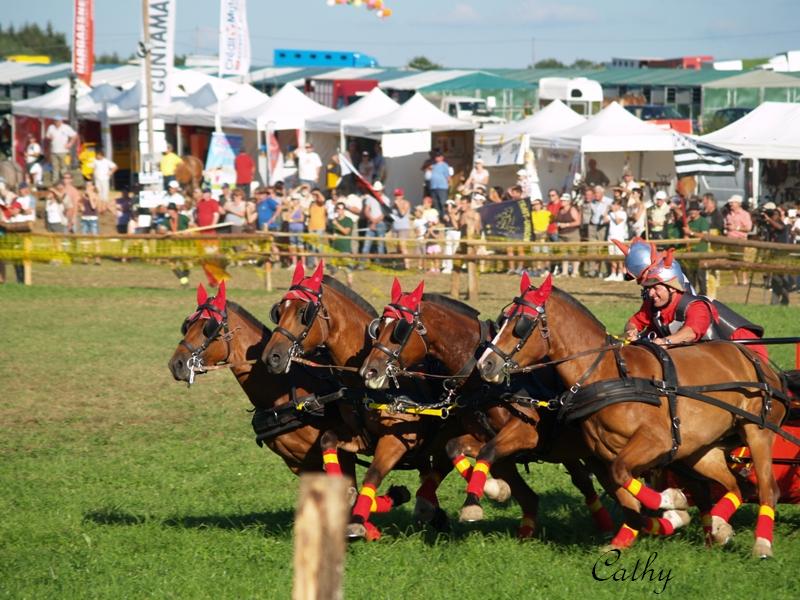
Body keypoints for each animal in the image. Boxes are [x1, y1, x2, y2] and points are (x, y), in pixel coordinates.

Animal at [360, 278, 616, 536]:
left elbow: (485, 454)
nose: (369, 371)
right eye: (379, 327)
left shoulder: (527, 432)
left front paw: (482, 498)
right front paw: (491, 491)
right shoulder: (484, 435)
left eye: (400, 329)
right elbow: (459, 449)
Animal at [478, 274, 792, 556]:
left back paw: (761, 545)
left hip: (757, 433)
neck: (607, 375)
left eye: (521, 323)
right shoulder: (605, 454)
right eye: (503, 317)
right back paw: (718, 526)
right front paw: (624, 540)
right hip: (701, 450)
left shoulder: (656, 442)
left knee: (767, 489)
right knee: (735, 486)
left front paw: (672, 502)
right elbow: (628, 500)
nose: (486, 365)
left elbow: (626, 479)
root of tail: (759, 363)